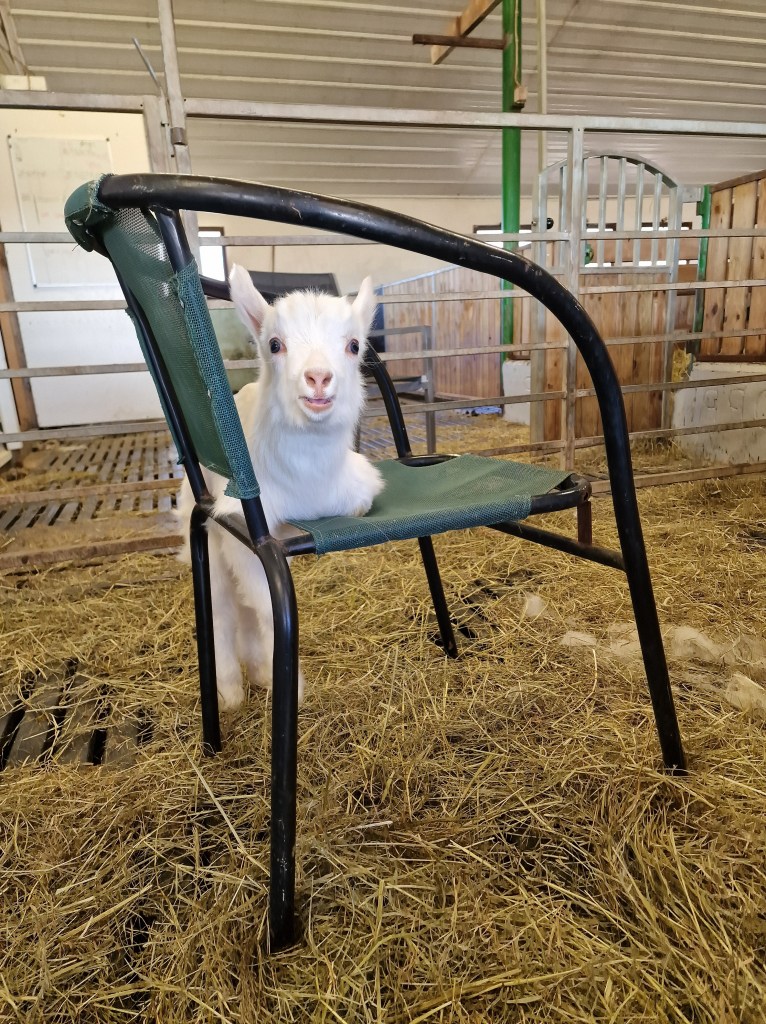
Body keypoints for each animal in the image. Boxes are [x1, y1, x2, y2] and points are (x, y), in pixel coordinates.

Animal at [177, 265, 384, 709]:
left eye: (354, 345)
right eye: (275, 344)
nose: (318, 378)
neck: (308, 484)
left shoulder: (357, 493)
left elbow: (259, 605)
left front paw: (275, 676)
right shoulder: (241, 525)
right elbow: (268, 607)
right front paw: (295, 686)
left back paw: (257, 672)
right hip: (206, 532)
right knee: (222, 607)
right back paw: (231, 691)